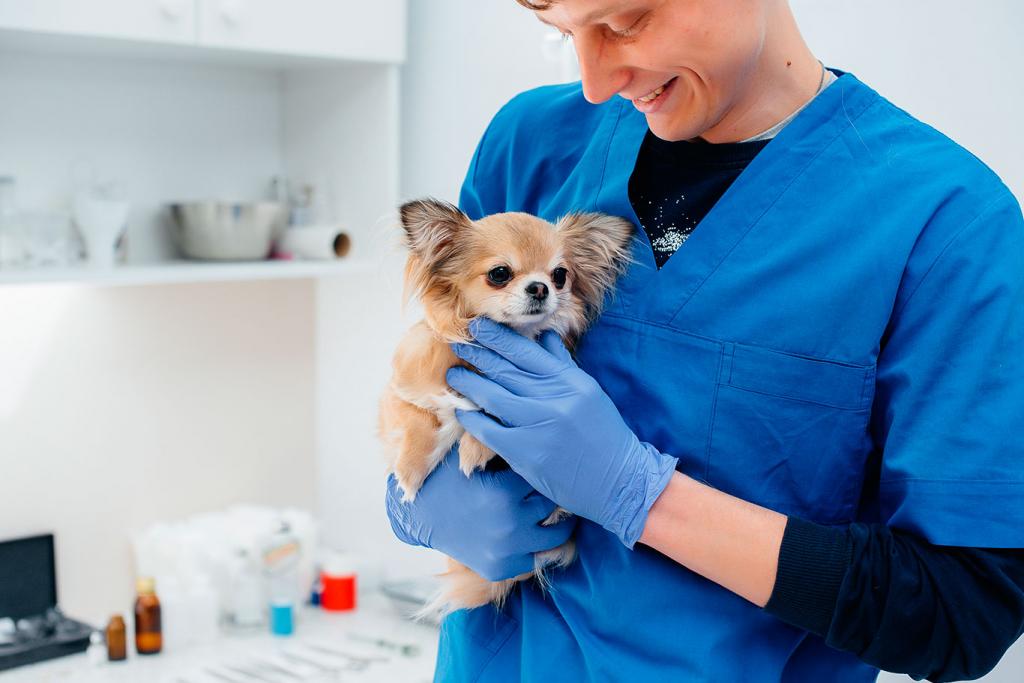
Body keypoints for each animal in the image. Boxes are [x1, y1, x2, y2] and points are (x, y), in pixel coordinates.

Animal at [378, 197, 630, 614]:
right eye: (500, 274)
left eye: (560, 275)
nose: (541, 287)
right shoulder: (401, 393)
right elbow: (421, 420)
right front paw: (409, 478)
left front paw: (473, 448)